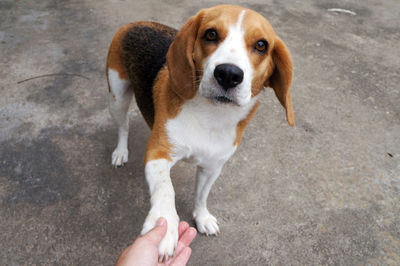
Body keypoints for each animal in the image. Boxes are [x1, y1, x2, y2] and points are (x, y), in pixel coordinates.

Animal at [106, 4, 294, 260]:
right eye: (211, 34)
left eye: (261, 45)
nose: (228, 74)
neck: (211, 115)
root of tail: (136, 23)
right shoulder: (157, 154)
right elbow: (166, 189)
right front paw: (165, 226)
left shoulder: (213, 166)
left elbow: (202, 194)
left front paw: (202, 217)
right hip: (117, 97)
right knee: (123, 126)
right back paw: (120, 152)